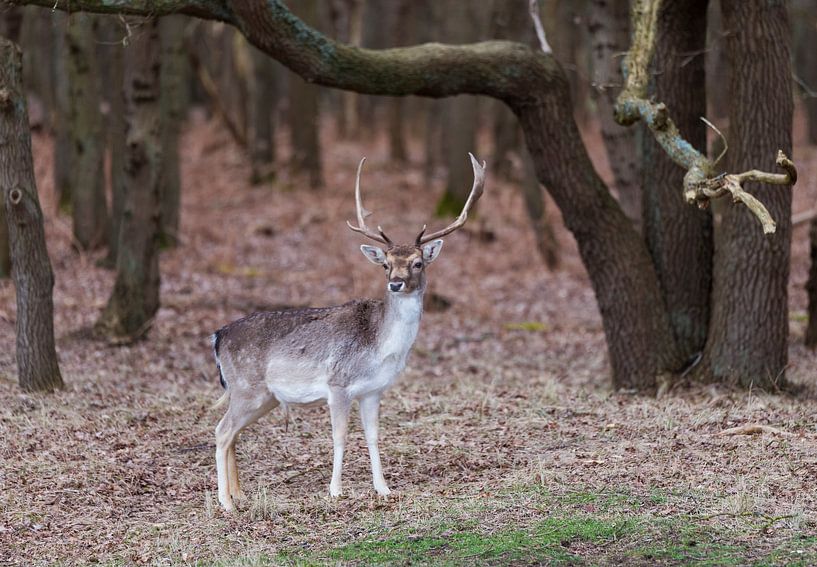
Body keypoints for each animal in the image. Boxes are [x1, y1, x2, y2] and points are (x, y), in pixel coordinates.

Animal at [210, 153, 488, 512]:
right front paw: (335, 490)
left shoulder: (373, 390)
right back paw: (226, 503)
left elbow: (373, 436)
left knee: (233, 433)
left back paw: (239, 495)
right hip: (247, 387)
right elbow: (340, 436)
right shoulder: (338, 383)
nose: (395, 283)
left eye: (417, 263)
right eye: (385, 264)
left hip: (262, 396)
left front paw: (384, 489)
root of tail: (218, 336)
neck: (380, 348)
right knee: (221, 431)